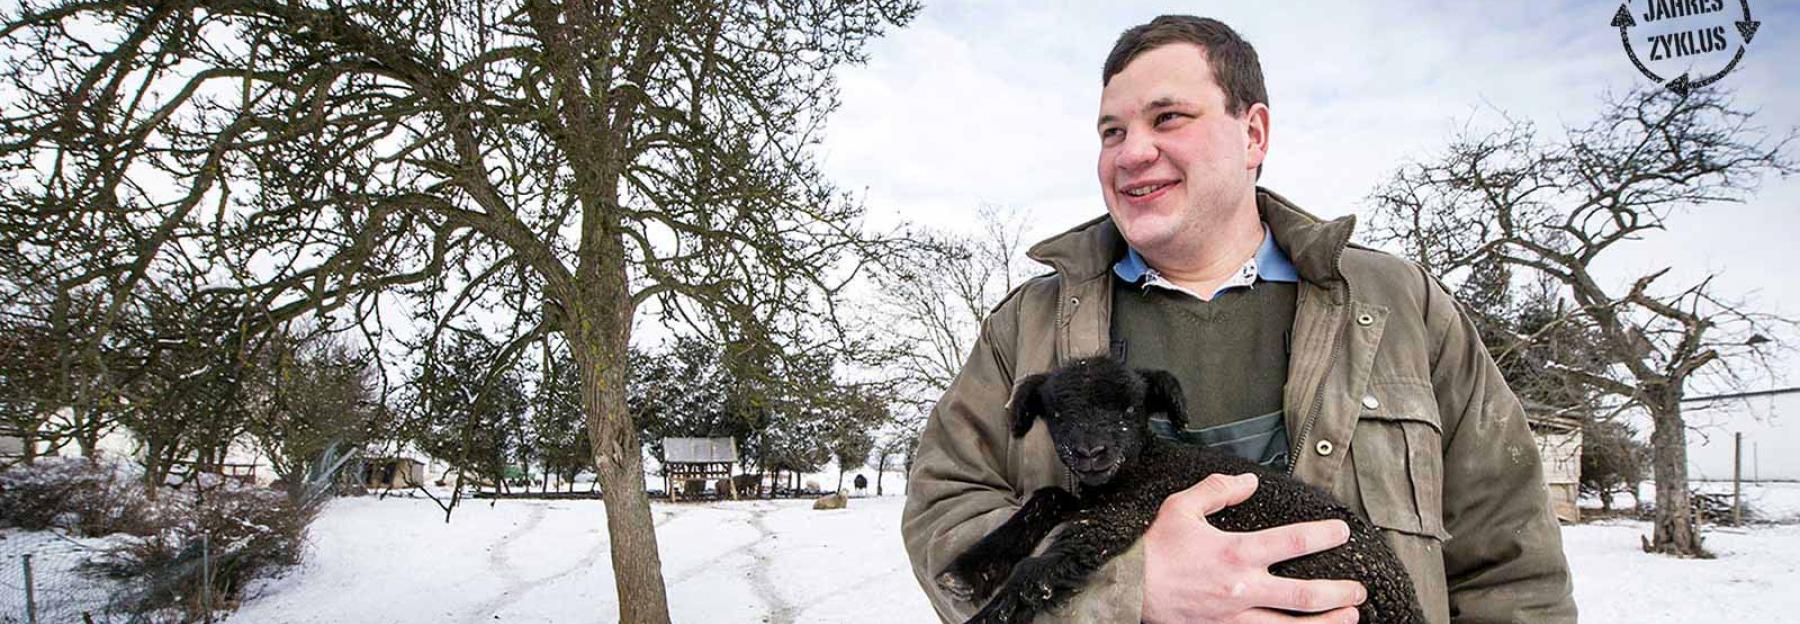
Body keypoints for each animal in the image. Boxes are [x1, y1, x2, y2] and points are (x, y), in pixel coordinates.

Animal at [936, 356, 1425, 624]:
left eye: (1130, 410)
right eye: (1057, 414)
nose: (1090, 452)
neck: (1141, 467)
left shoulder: (1124, 515)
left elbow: (1038, 570)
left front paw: (987, 614)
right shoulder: (1098, 503)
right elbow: (1047, 498)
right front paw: (968, 571)